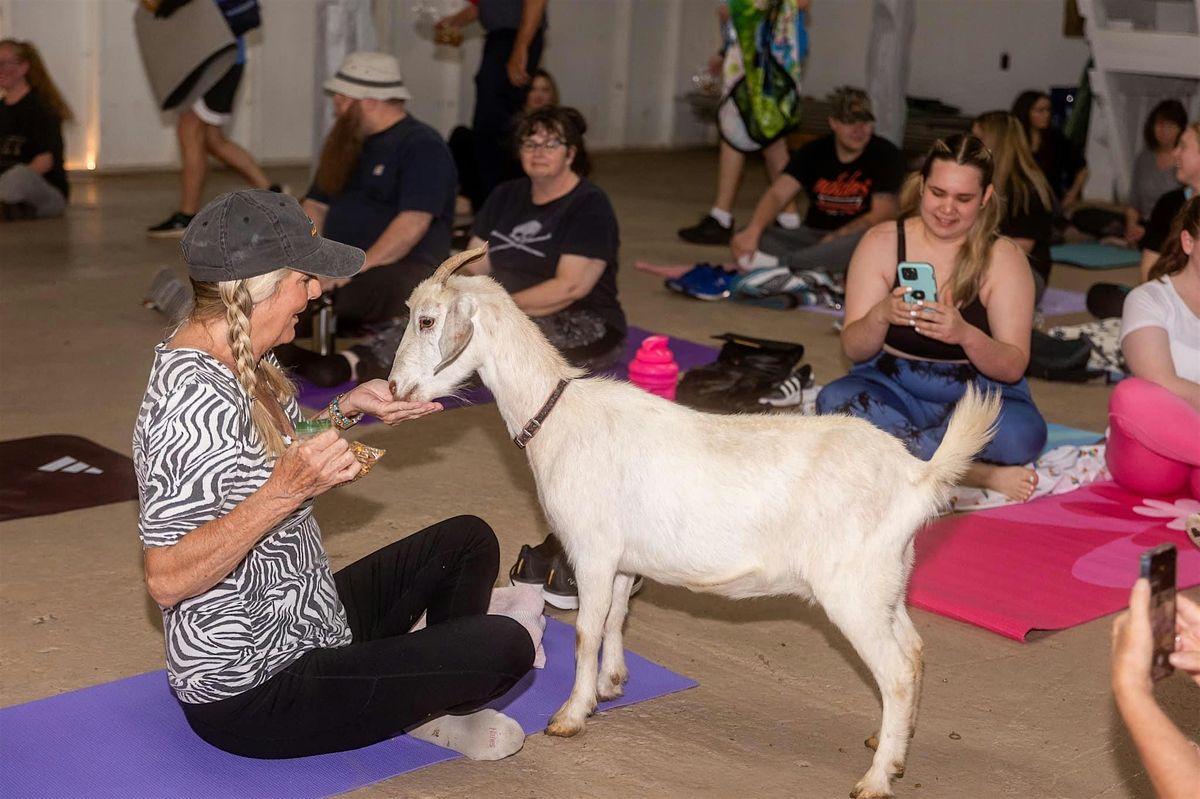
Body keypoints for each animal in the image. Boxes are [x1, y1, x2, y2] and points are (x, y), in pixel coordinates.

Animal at [388, 245, 998, 791]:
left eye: (426, 319)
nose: (394, 387)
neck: (557, 413)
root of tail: (917, 477)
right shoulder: (624, 558)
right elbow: (617, 617)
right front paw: (612, 684)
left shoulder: (592, 549)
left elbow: (586, 628)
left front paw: (570, 714)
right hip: (886, 581)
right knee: (913, 652)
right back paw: (890, 745)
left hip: (853, 588)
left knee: (894, 672)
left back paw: (875, 778)